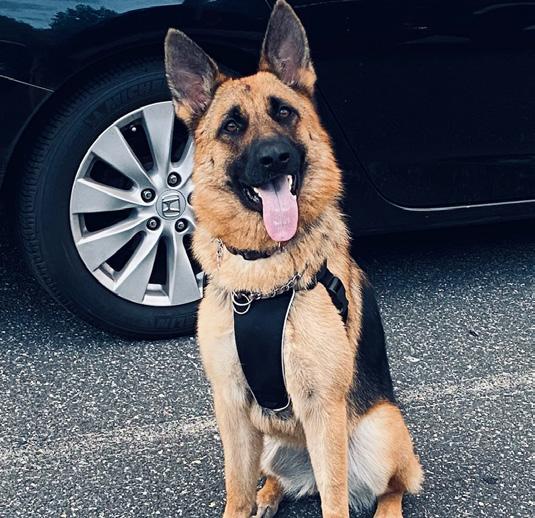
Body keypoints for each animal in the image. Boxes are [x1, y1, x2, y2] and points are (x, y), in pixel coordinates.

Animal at [164, 1, 423, 517]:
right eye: (231, 127)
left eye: (284, 113)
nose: (274, 158)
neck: (262, 269)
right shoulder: (231, 407)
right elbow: (237, 489)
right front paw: (247, 501)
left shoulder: (323, 407)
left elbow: (334, 498)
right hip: (265, 440)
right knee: (272, 478)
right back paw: (270, 493)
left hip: (380, 429)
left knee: (392, 484)